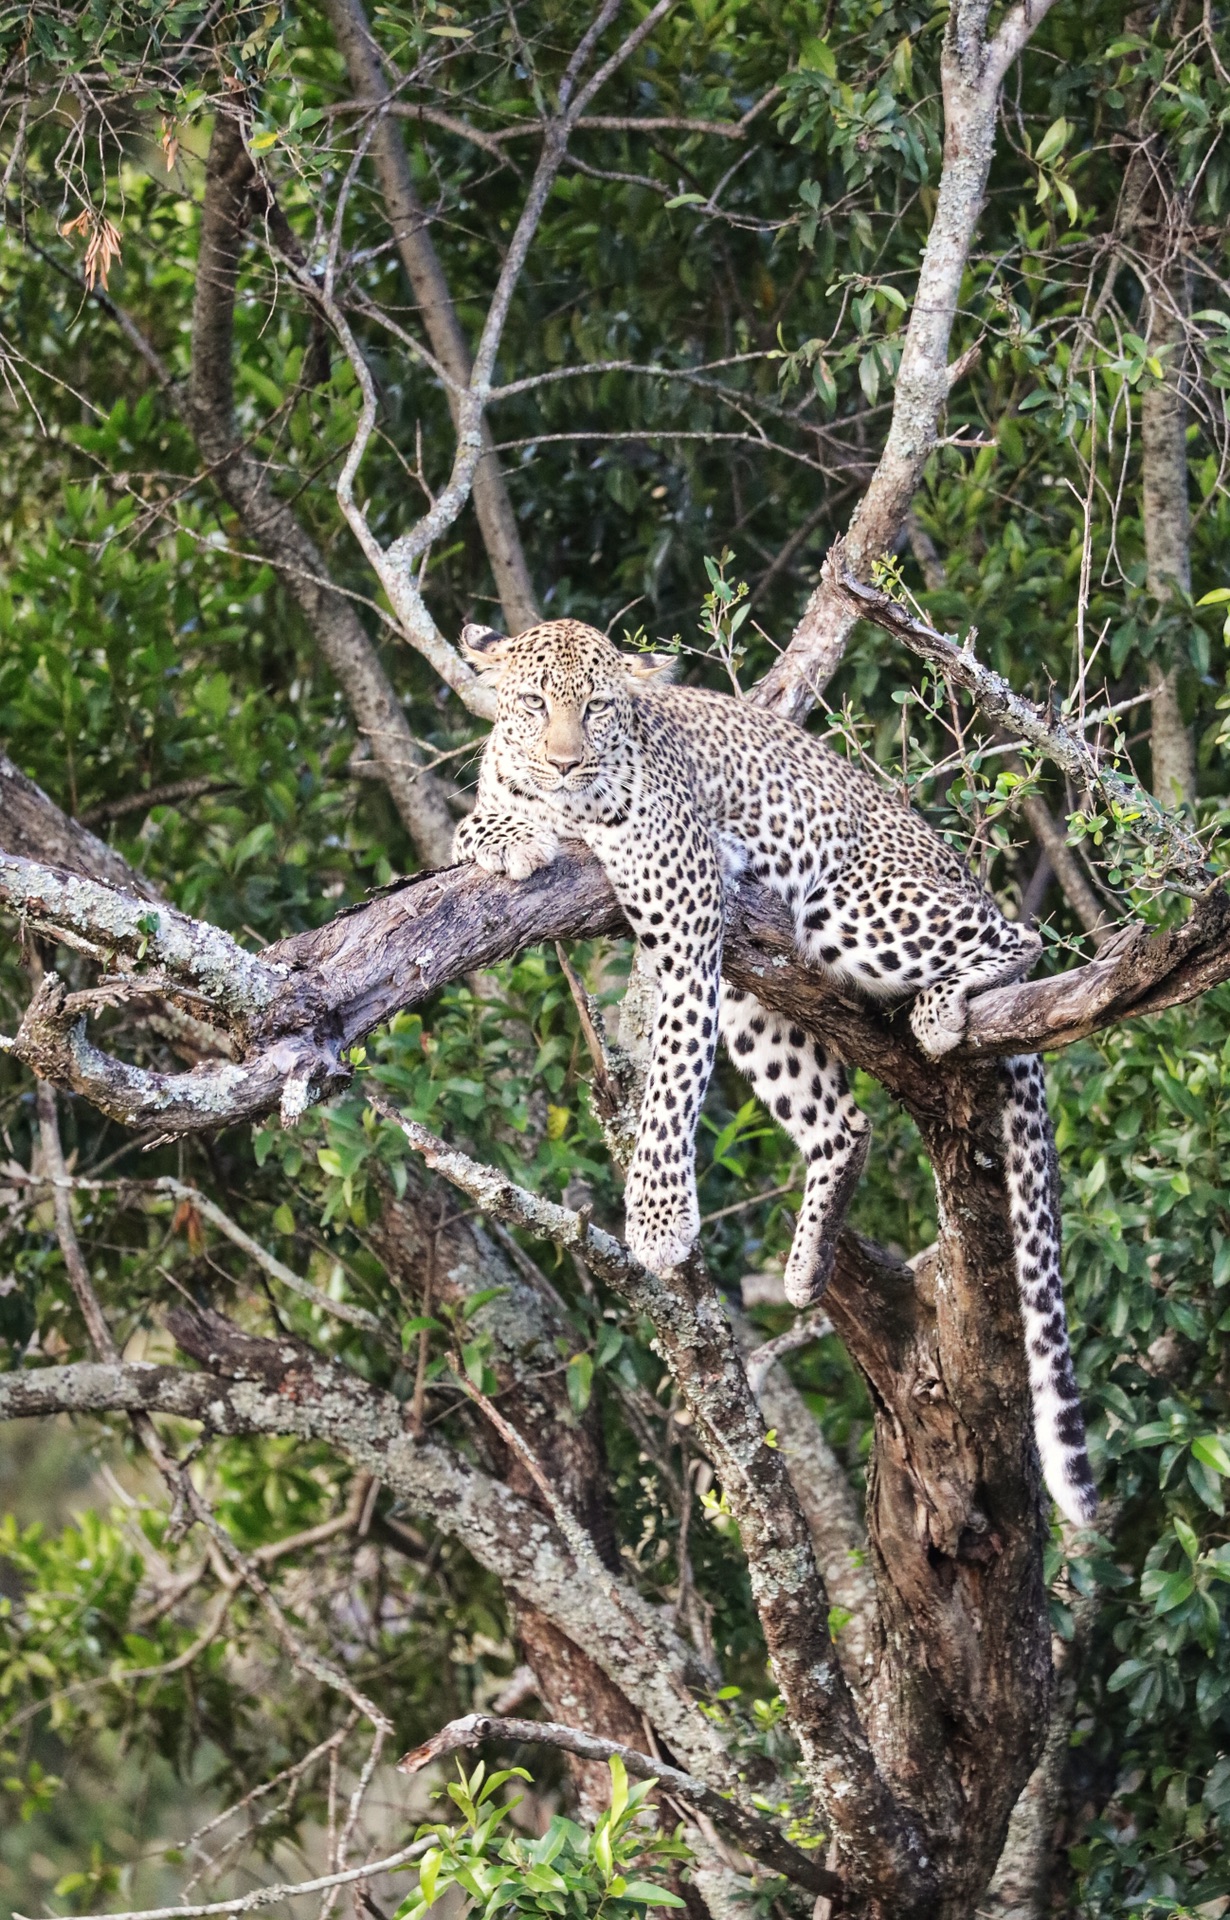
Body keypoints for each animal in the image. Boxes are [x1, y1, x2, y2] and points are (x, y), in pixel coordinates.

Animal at [450, 618, 1089, 1528]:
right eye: (535, 702)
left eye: (598, 706)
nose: (567, 762)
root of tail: (954, 862)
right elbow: (474, 824)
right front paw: (511, 837)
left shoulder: (686, 911)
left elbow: (672, 1083)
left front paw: (658, 1224)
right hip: (759, 998)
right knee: (843, 1125)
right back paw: (808, 1263)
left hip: (851, 909)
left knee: (1019, 936)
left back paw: (942, 1009)